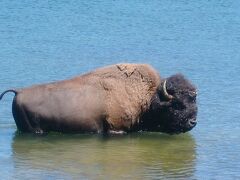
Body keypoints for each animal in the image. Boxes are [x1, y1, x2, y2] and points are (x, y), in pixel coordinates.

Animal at [0, 64, 198, 134]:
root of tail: (19, 91)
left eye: (194, 101)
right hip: (35, 130)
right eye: (177, 105)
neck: (149, 98)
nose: (193, 122)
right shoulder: (117, 129)